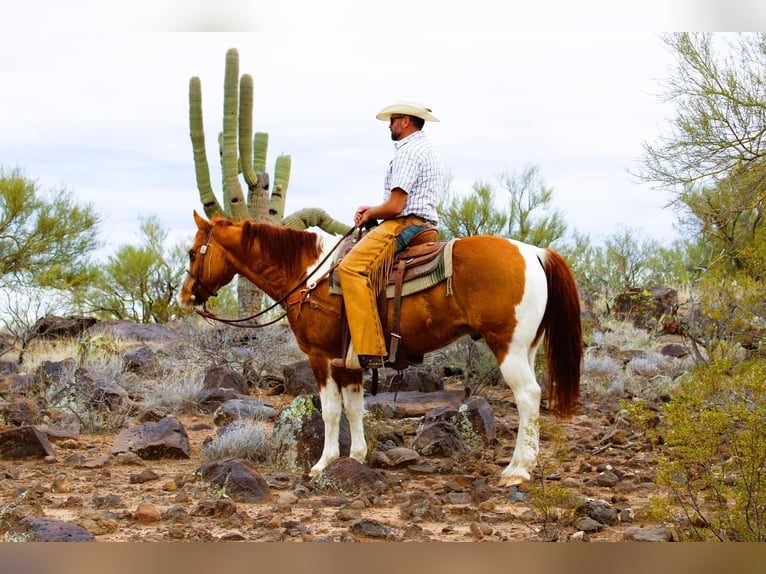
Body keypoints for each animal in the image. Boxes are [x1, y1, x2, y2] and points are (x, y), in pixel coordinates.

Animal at [178, 213, 584, 486]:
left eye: (193, 252)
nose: (185, 297)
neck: (309, 277)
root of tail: (534, 252)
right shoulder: (350, 363)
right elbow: (355, 409)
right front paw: (357, 457)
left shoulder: (320, 357)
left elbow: (330, 411)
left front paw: (323, 463)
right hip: (526, 347)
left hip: (508, 347)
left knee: (528, 396)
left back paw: (518, 469)